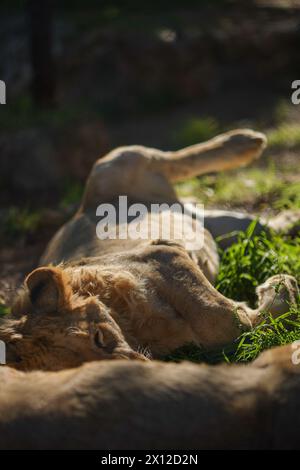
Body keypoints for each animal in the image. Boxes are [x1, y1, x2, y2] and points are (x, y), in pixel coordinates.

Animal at [0, 129, 298, 370]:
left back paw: (246, 141)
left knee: (174, 159)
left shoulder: (162, 253)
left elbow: (220, 316)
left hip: (114, 165)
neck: (132, 328)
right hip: (220, 226)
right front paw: (279, 289)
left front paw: (279, 285)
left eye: (99, 337)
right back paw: (290, 221)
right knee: (253, 224)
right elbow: (245, 323)